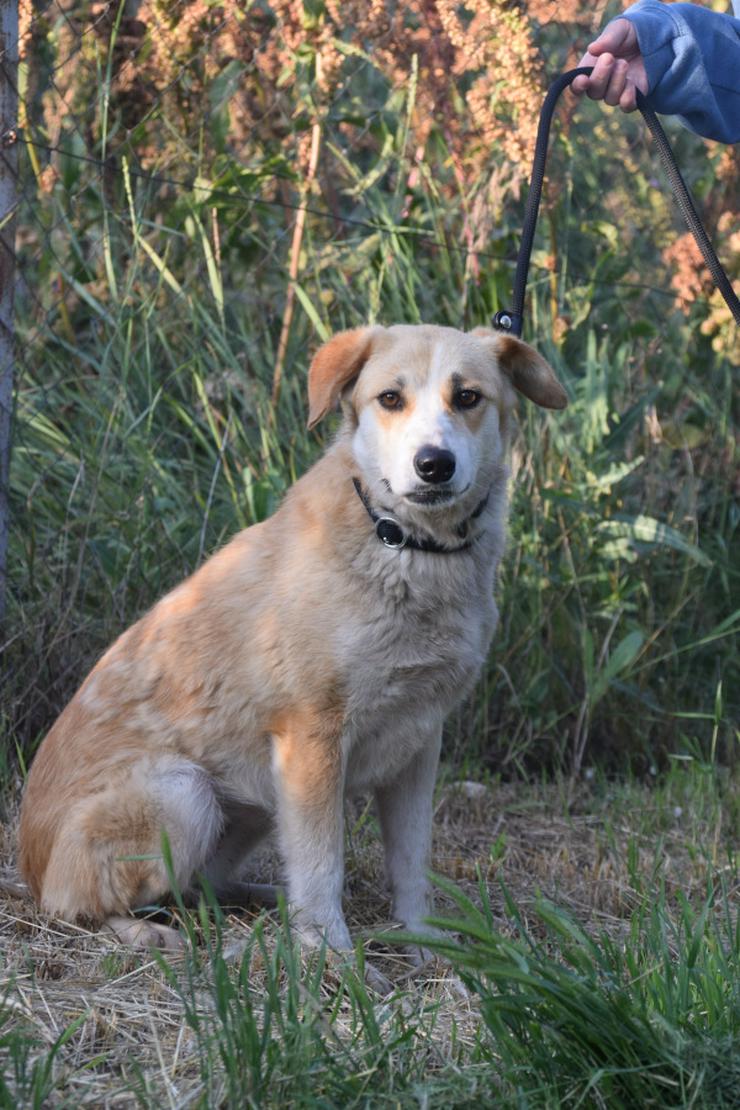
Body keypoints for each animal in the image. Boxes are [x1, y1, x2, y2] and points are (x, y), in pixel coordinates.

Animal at [21, 324, 568, 950]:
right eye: (390, 398)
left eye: (469, 397)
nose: (434, 464)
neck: (405, 545)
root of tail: (26, 866)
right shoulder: (313, 737)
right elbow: (321, 865)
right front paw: (332, 954)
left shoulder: (420, 739)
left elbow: (412, 862)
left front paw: (427, 943)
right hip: (184, 794)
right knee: (77, 905)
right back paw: (148, 933)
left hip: (254, 802)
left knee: (198, 888)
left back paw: (263, 901)